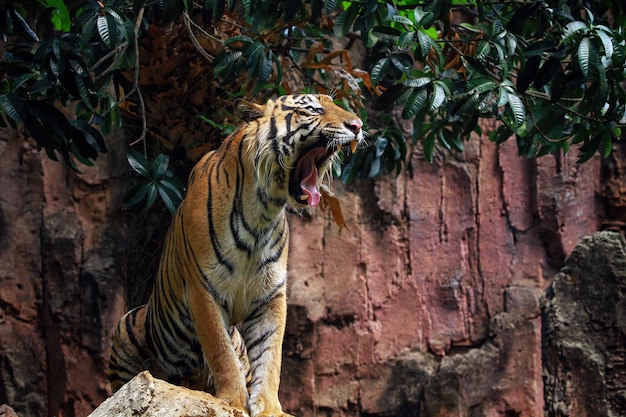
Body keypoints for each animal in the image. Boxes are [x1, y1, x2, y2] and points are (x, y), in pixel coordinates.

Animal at [106, 94, 360, 416]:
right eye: (312, 109)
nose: (358, 125)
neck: (264, 211)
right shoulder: (203, 290)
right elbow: (220, 350)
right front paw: (232, 401)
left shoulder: (270, 296)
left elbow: (270, 355)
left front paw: (268, 406)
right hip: (124, 332)